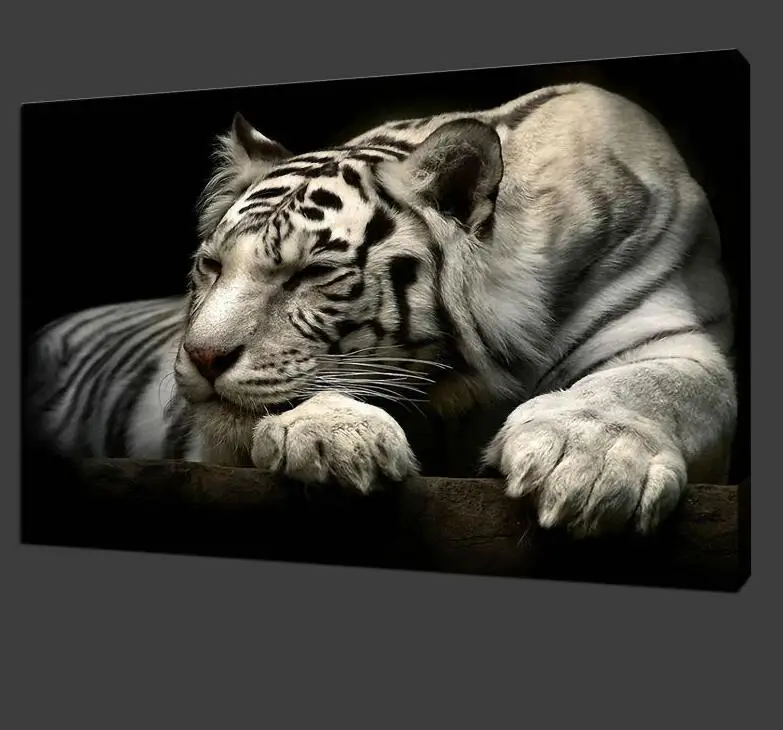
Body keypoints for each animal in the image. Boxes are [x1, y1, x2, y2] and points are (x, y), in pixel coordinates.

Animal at [26, 82, 737, 539]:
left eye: (313, 273)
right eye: (212, 267)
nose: (200, 357)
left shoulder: (673, 332)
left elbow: (652, 386)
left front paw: (586, 463)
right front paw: (335, 436)